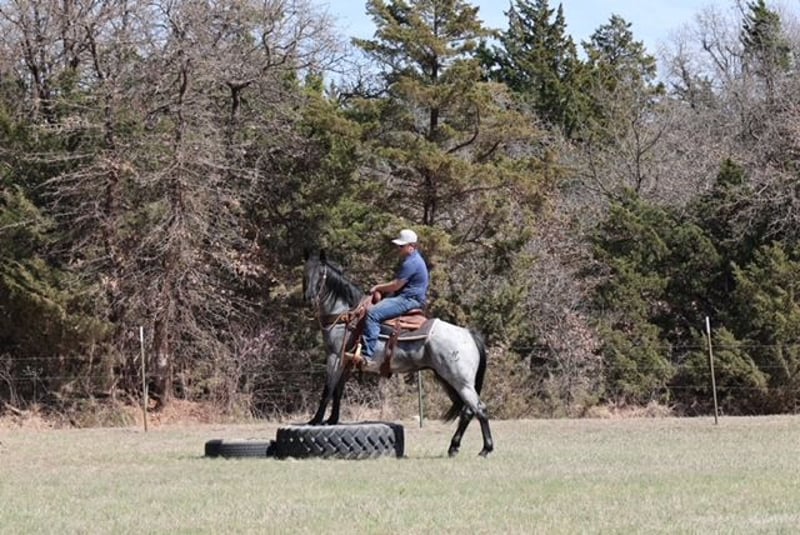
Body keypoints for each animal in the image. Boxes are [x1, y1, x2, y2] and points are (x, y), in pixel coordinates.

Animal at [302, 251, 494, 457]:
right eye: (305, 272)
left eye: (321, 273)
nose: (308, 297)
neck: (347, 316)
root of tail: (468, 334)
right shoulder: (345, 362)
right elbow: (338, 391)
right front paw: (332, 420)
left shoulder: (335, 357)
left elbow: (327, 390)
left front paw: (315, 420)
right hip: (449, 380)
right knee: (468, 412)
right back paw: (454, 447)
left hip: (460, 381)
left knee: (479, 409)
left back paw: (485, 449)